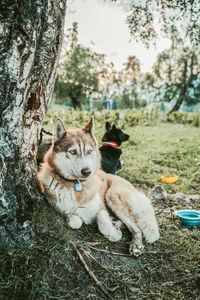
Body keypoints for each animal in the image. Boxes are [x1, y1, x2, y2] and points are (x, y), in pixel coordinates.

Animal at [38, 117, 159, 255]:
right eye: (72, 152)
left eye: (89, 151)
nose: (87, 171)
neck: (75, 185)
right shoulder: (63, 210)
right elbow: (75, 222)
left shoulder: (101, 207)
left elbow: (103, 222)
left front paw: (114, 234)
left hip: (112, 195)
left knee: (136, 227)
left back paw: (136, 245)